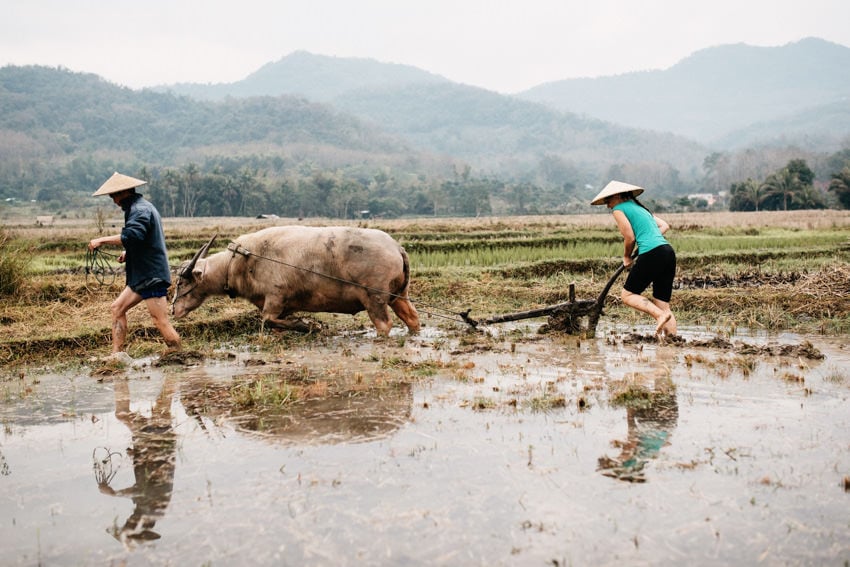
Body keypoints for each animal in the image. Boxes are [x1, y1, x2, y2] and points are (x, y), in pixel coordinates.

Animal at [171, 226, 420, 336]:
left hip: (374, 299)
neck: (242, 261)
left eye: (182, 282)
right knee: (413, 318)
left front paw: (309, 325)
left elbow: (267, 319)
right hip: (399, 296)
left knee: (384, 324)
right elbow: (274, 323)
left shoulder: (275, 297)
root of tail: (396, 247)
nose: (173, 310)